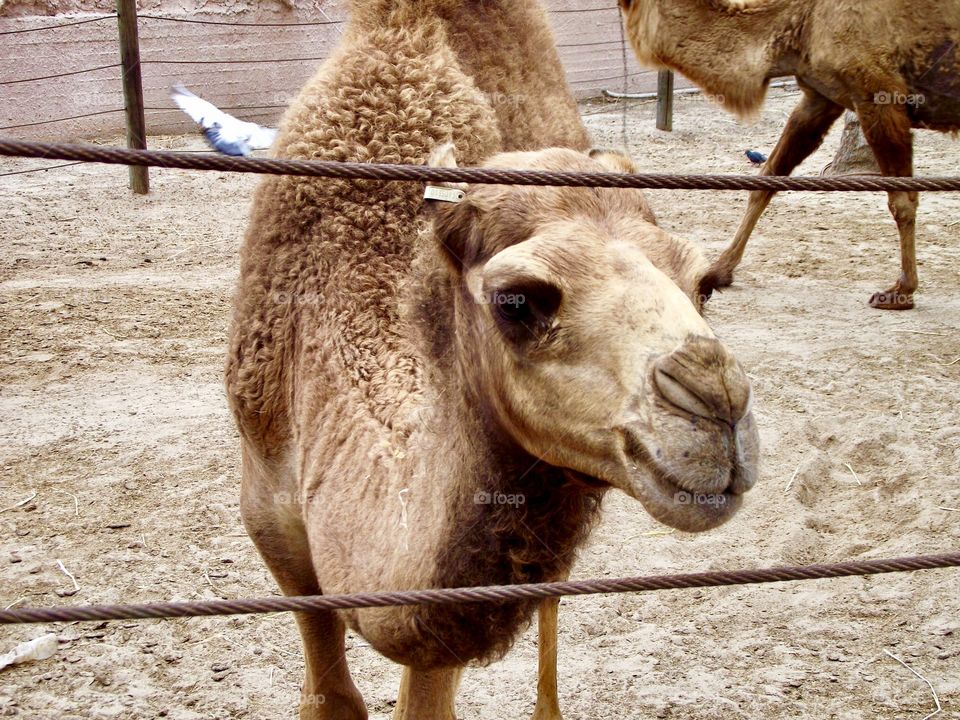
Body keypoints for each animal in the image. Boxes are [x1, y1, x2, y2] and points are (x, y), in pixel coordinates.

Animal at [619, 0, 960, 310]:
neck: (798, 22)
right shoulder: (819, 96)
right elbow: (767, 179)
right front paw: (716, 274)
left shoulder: (879, 96)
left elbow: (902, 200)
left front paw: (901, 292)